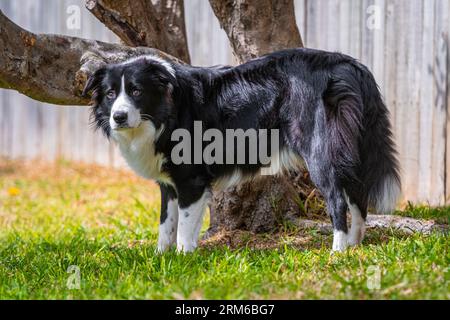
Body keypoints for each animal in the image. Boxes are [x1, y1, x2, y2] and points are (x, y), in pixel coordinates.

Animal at [83, 48, 400, 252]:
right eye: (110, 94)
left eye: (136, 91)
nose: (118, 117)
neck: (166, 112)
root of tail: (346, 64)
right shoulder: (169, 183)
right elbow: (166, 224)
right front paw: (162, 259)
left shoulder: (190, 180)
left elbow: (184, 226)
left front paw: (183, 259)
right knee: (358, 195)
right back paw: (354, 247)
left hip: (320, 150)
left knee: (337, 200)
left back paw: (337, 251)